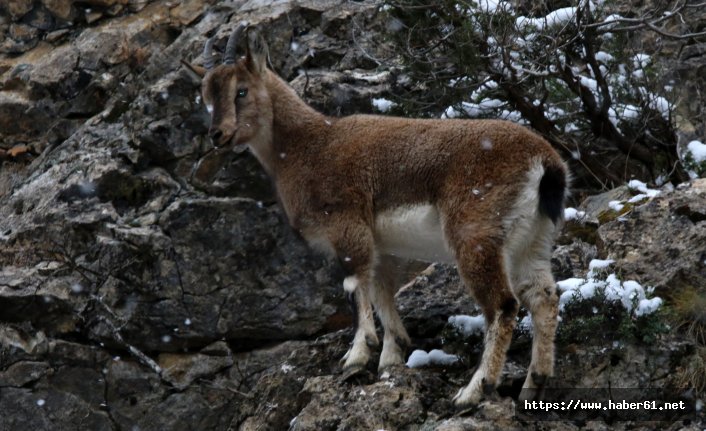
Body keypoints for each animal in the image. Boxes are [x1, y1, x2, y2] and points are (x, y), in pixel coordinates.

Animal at [186, 25, 568, 410]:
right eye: (206, 96)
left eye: (241, 90)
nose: (218, 134)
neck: (306, 148)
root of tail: (546, 164)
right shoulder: (385, 247)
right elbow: (383, 292)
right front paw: (390, 358)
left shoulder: (346, 224)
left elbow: (355, 286)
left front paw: (357, 354)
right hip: (532, 241)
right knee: (544, 297)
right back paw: (534, 384)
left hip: (475, 236)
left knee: (503, 305)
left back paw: (474, 390)